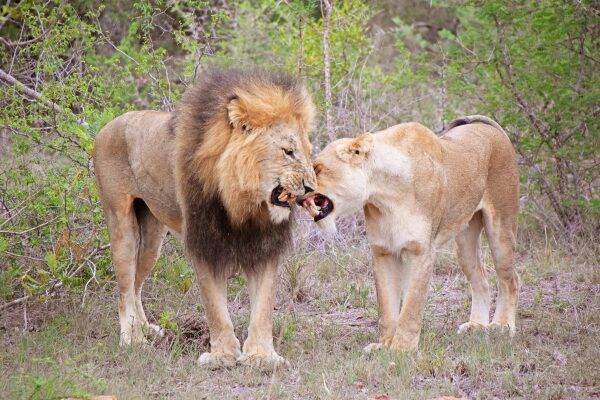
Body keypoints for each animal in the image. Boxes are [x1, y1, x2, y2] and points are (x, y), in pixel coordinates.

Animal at [94, 69, 316, 368]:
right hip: (120, 222)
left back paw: (146, 329)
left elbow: (263, 307)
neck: (243, 203)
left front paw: (261, 357)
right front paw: (222, 356)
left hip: (152, 236)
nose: (311, 188)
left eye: (307, 150)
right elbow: (215, 308)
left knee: (137, 284)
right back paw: (133, 339)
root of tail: (107, 126)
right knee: (124, 288)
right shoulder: (204, 244)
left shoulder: (264, 246)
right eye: (288, 151)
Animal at [302, 116, 516, 354]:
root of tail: (492, 128)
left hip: (501, 228)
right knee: (481, 279)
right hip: (465, 241)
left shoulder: (421, 252)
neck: (384, 194)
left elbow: (411, 307)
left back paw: (502, 326)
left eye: (317, 169)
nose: (298, 191)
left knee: (510, 279)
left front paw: (401, 349)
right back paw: (477, 326)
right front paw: (384, 345)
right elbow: (387, 308)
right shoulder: (383, 252)